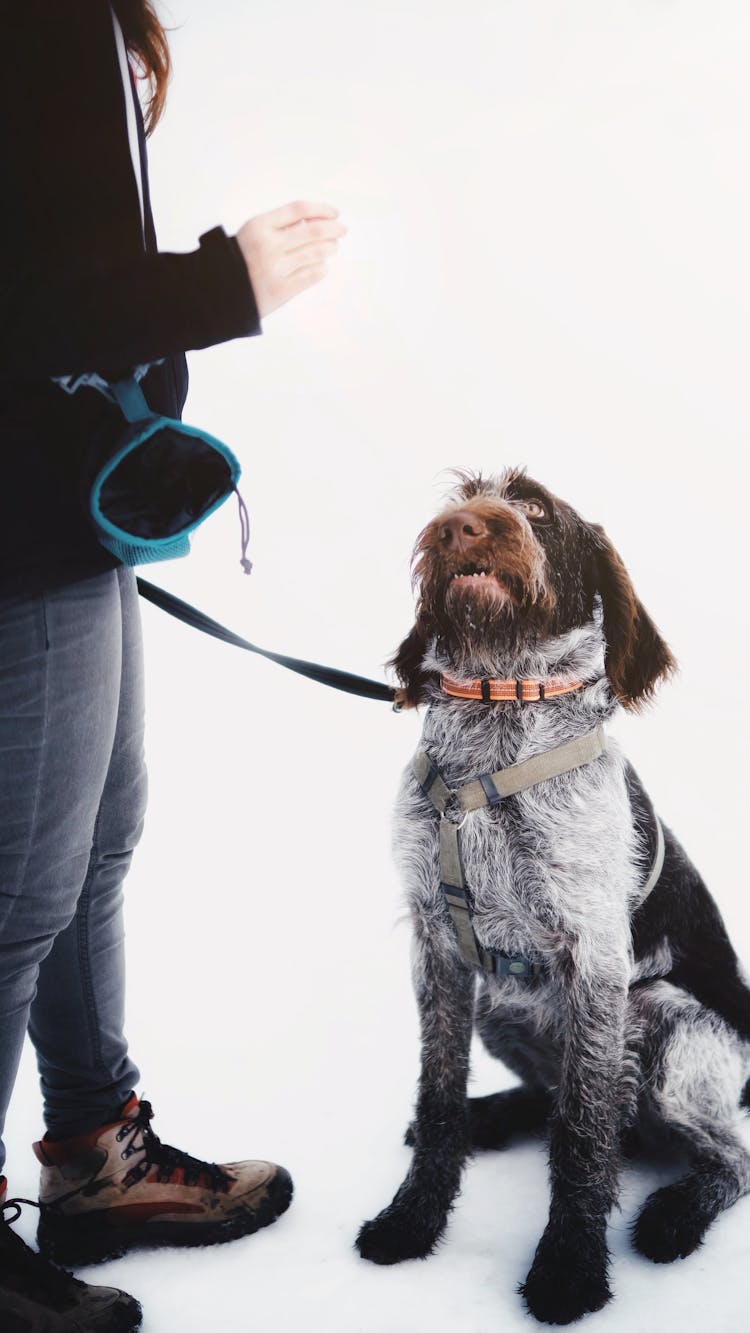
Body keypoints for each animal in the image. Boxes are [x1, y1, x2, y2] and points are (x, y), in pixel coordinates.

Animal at [354, 469, 750, 1322]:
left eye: (534, 506)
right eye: (459, 496)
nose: (460, 526)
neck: (499, 703)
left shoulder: (594, 957)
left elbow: (582, 1128)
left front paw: (569, 1267)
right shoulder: (437, 944)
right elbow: (440, 1093)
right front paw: (412, 1217)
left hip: (667, 1024)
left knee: (726, 1155)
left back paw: (674, 1213)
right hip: (499, 1007)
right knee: (551, 1097)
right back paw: (492, 1114)